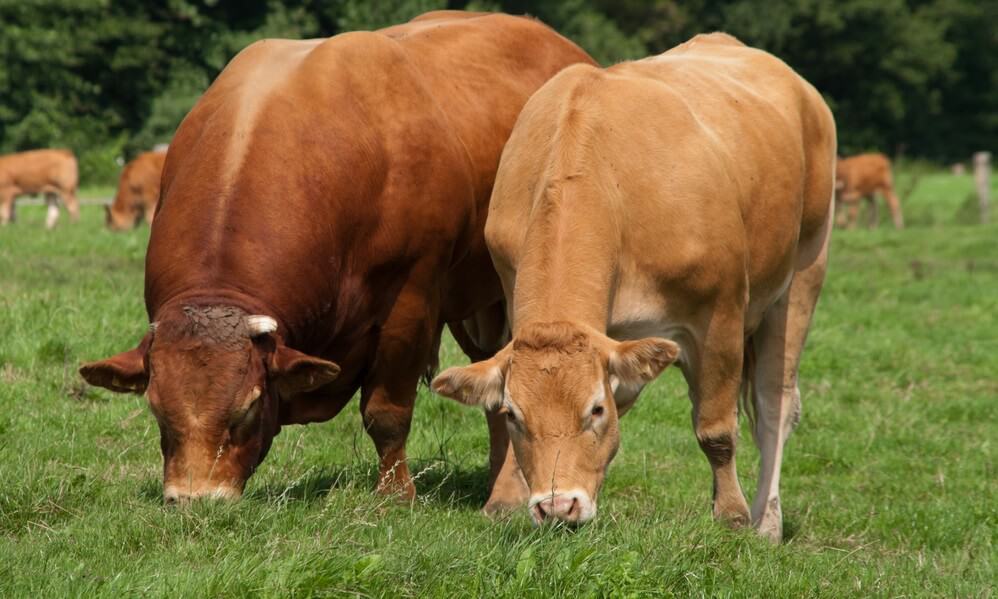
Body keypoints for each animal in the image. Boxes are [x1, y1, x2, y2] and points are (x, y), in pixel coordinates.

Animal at [78, 11, 594, 505]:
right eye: (156, 408)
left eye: (248, 407)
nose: (194, 500)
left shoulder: (409, 302)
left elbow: (386, 412)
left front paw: (395, 495)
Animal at [431, 33, 836, 543]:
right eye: (513, 415)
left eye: (594, 410)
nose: (558, 506)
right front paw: (504, 498)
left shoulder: (720, 316)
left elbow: (716, 429)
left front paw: (732, 515)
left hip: (803, 274)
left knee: (774, 406)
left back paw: (768, 519)